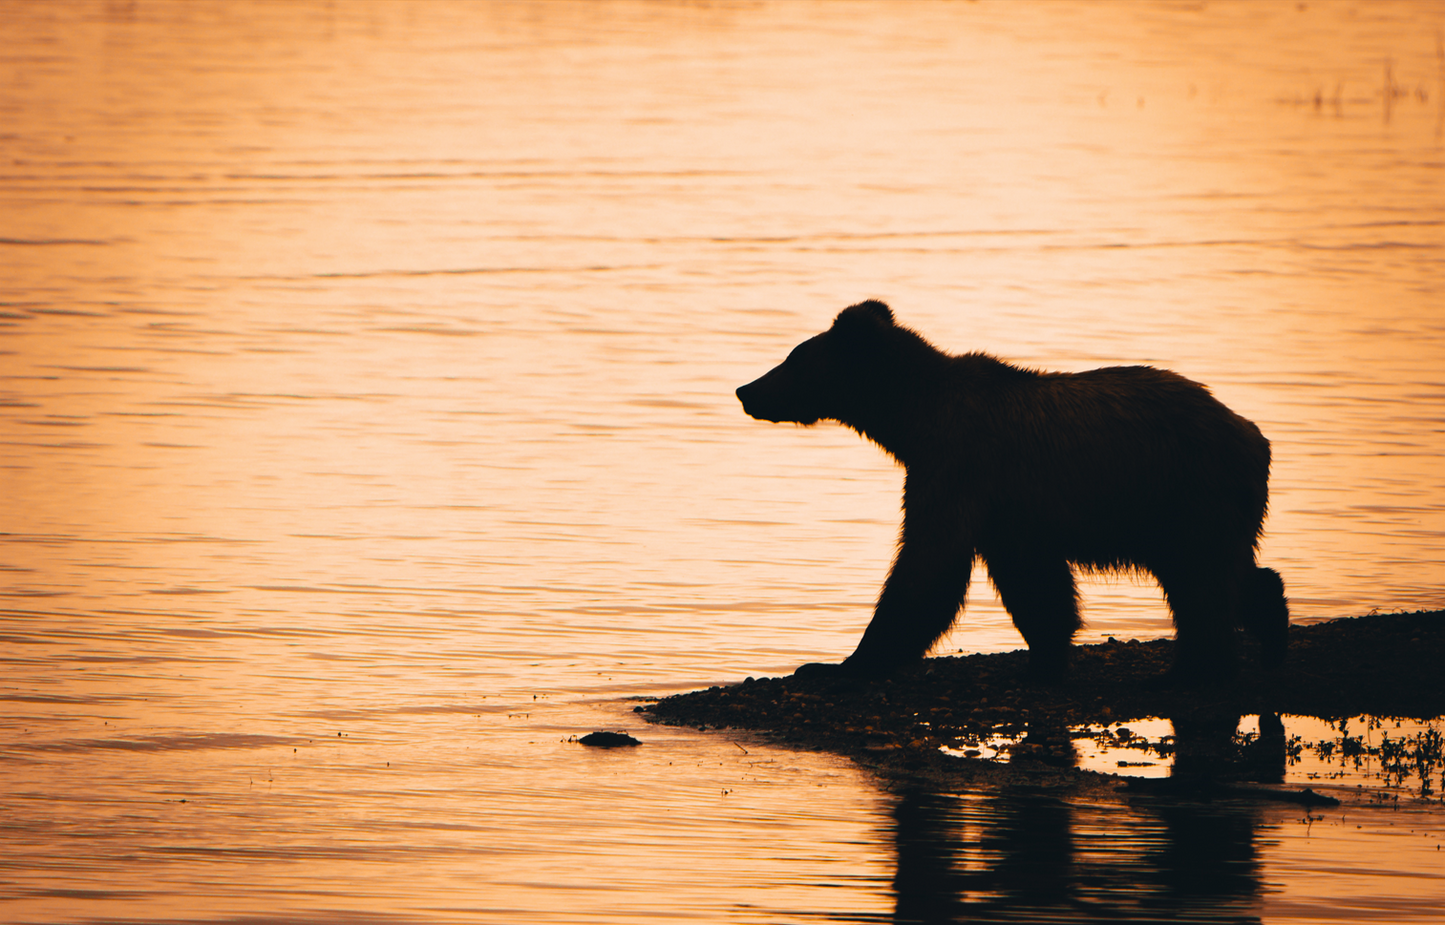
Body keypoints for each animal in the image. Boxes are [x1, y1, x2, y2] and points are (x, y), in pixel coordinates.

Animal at [735, 299, 1288, 683]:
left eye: (792, 358)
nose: (745, 390)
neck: (913, 419)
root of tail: (1253, 434)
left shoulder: (959, 467)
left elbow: (929, 563)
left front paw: (839, 664)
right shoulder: (1008, 509)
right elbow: (1033, 582)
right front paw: (1046, 655)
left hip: (1183, 492)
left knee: (1203, 580)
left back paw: (1192, 667)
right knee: (1227, 575)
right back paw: (1268, 635)